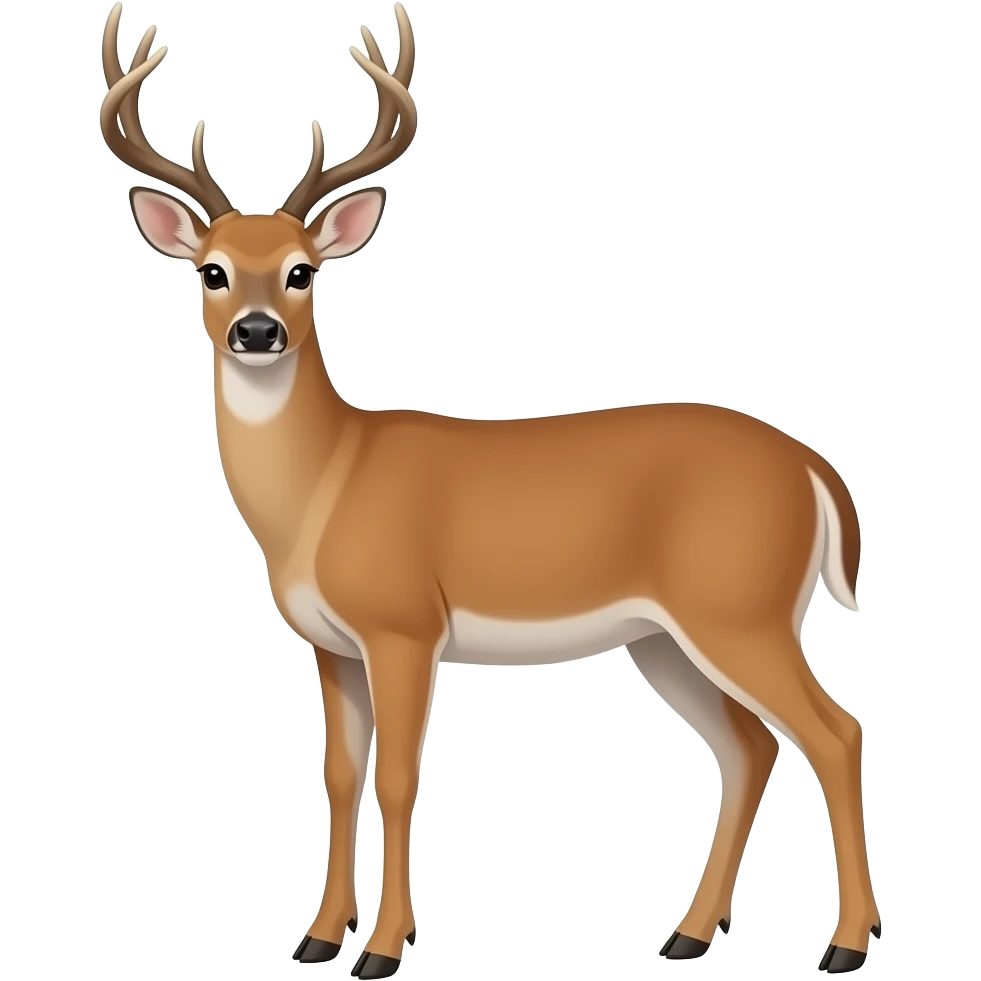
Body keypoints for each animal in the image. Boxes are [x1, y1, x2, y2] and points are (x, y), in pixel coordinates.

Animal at [98, 3, 877, 977]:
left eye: (302, 269)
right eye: (211, 269)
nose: (256, 330)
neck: (325, 484)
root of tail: (815, 469)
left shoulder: (403, 625)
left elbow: (399, 777)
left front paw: (382, 948)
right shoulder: (330, 645)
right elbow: (339, 775)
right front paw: (317, 938)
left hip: (741, 606)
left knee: (833, 730)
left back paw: (843, 945)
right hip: (665, 635)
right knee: (750, 744)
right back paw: (687, 933)